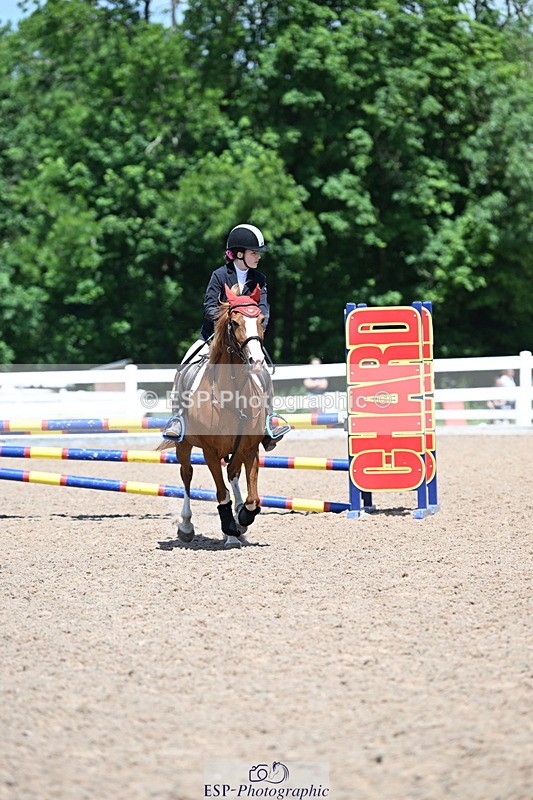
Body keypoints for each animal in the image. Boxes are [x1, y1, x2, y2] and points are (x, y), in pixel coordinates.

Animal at [159, 284, 270, 548]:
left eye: (261, 319)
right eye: (235, 322)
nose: (257, 361)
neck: (232, 394)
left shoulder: (250, 448)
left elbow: (253, 498)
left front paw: (241, 520)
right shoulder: (210, 451)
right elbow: (221, 493)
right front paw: (230, 527)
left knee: (233, 474)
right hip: (184, 446)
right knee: (187, 475)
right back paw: (186, 526)